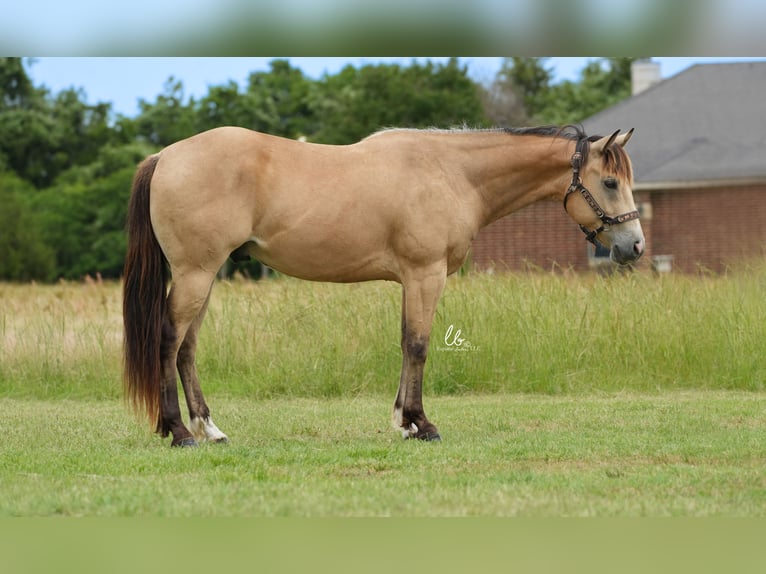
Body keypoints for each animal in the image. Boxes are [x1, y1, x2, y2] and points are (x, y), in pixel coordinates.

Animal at [123, 126, 644, 450]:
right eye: (610, 182)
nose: (635, 246)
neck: (451, 173)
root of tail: (165, 156)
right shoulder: (426, 274)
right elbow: (418, 345)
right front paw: (422, 423)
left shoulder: (412, 280)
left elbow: (404, 343)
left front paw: (403, 422)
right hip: (195, 273)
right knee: (168, 341)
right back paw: (179, 432)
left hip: (204, 276)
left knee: (187, 348)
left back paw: (209, 429)